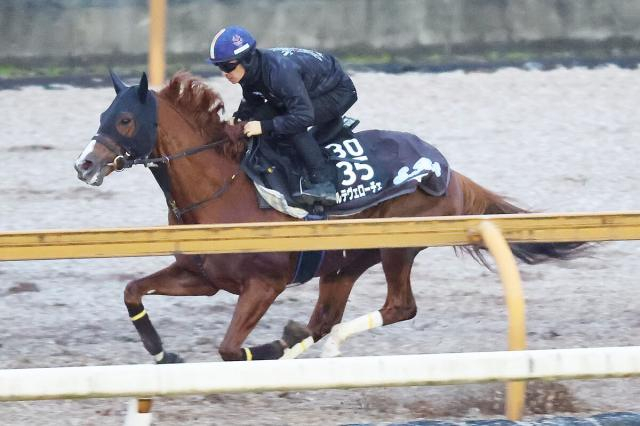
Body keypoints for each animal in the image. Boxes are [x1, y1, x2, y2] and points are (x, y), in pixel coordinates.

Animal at [75, 70, 584, 362]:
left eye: (124, 120)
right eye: (102, 115)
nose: (85, 164)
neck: (224, 190)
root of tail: (448, 170)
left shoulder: (265, 283)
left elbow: (229, 348)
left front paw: (267, 347)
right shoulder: (201, 276)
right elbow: (131, 291)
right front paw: (162, 354)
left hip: (396, 246)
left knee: (399, 307)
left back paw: (313, 344)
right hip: (343, 262)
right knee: (326, 318)